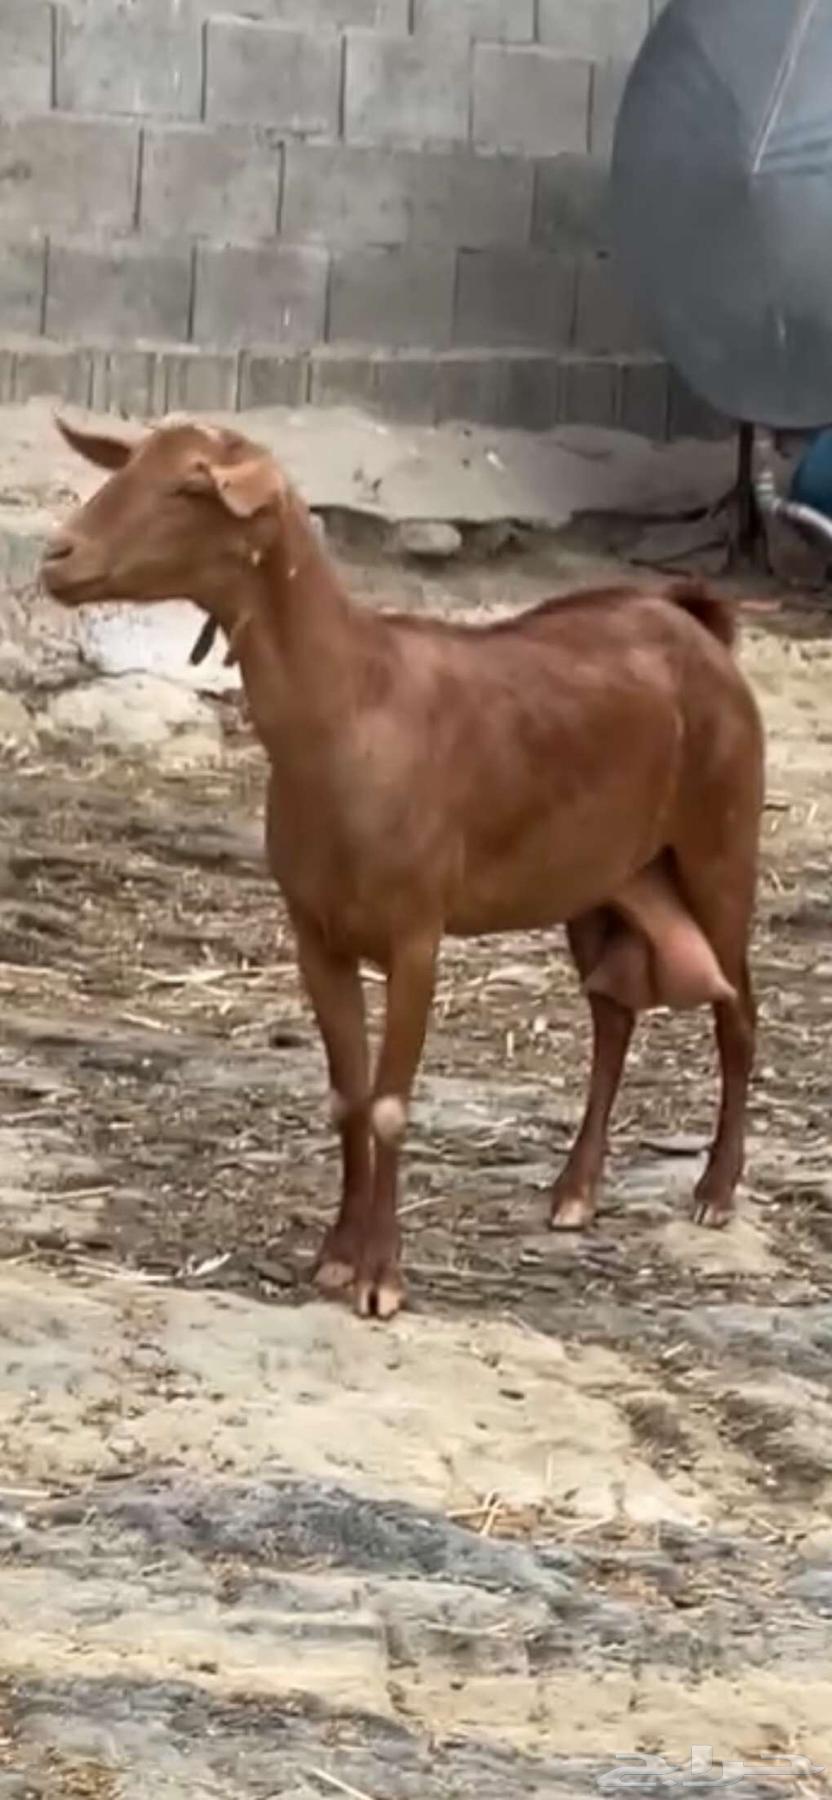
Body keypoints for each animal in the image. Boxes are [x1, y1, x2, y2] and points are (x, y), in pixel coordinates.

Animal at [41, 416, 764, 1320]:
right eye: (129, 464)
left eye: (190, 486)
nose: (57, 554)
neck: (351, 709)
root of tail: (700, 626)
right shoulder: (316, 932)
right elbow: (347, 1095)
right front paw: (335, 1256)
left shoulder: (418, 930)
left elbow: (387, 1105)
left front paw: (382, 1278)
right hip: (610, 879)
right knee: (613, 1014)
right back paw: (575, 1192)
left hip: (720, 844)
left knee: (738, 1012)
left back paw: (716, 1192)